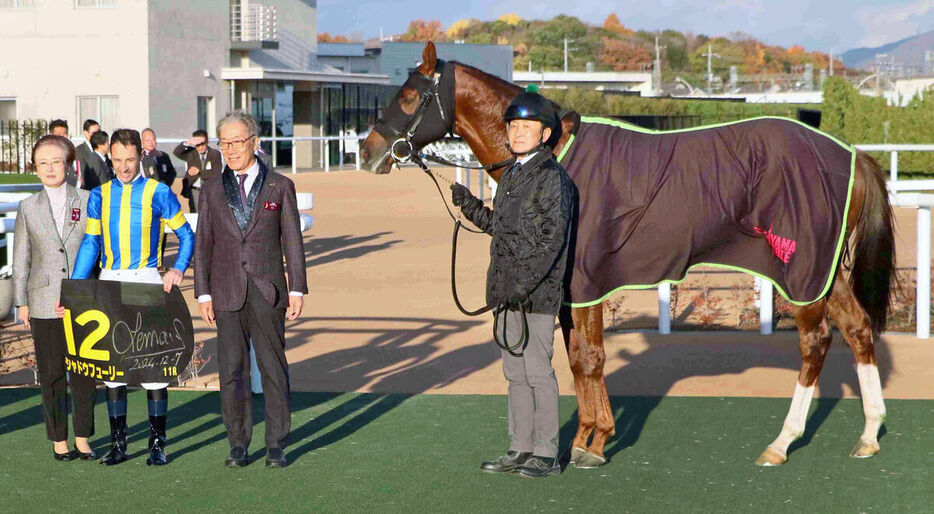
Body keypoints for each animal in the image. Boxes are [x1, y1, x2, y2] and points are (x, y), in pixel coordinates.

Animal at [362, 42, 896, 466]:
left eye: (408, 96)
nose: (368, 152)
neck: (557, 153)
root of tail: (850, 154)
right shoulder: (568, 292)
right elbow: (577, 359)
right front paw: (586, 438)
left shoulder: (587, 283)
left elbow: (589, 358)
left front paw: (595, 443)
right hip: (827, 270)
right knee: (857, 329)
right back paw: (869, 435)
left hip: (802, 270)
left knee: (816, 343)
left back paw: (782, 442)